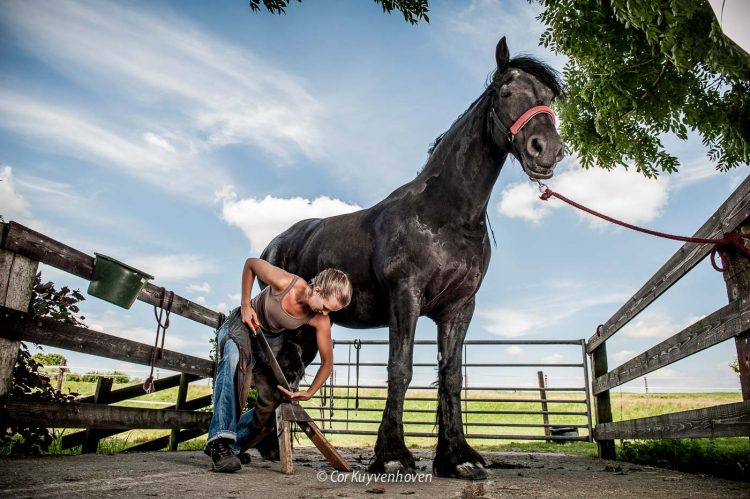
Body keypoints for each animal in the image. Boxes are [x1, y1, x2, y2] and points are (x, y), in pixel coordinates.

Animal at [257, 36, 564, 480]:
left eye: (550, 98)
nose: (547, 150)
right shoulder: (407, 296)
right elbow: (400, 370)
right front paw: (392, 455)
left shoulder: (459, 307)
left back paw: (267, 448)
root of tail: (273, 245)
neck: (444, 215)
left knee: (289, 376)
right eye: (505, 91)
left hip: (304, 334)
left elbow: (450, 376)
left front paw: (458, 458)